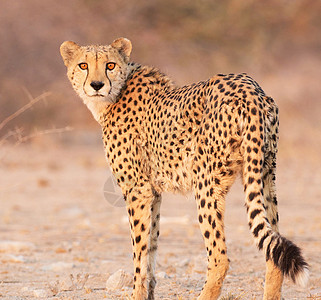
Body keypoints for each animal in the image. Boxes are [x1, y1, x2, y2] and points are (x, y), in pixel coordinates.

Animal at [60, 38, 308, 300]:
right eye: (83, 65)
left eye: (110, 65)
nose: (97, 85)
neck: (114, 96)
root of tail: (248, 87)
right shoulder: (153, 192)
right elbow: (151, 245)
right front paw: (149, 291)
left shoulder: (137, 189)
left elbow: (139, 252)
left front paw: (138, 293)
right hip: (265, 172)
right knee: (273, 249)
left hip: (207, 184)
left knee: (219, 258)